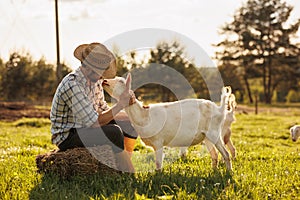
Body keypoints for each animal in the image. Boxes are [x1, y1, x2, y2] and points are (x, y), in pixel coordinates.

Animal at [104, 74, 233, 171]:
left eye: (121, 81)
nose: (104, 80)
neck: (144, 115)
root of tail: (219, 109)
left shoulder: (158, 141)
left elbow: (158, 164)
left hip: (214, 132)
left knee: (226, 154)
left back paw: (228, 173)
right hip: (206, 137)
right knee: (215, 155)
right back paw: (214, 171)